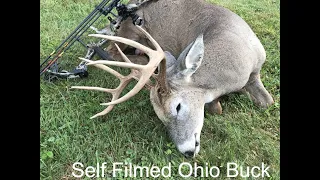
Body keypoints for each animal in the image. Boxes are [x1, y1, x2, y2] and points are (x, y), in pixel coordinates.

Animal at [71, 0, 274, 158]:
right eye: (161, 118)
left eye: (177, 106)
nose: (187, 152)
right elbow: (216, 108)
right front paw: (216, 103)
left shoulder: (256, 71)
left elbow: (268, 102)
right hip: (131, 31)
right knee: (112, 49)